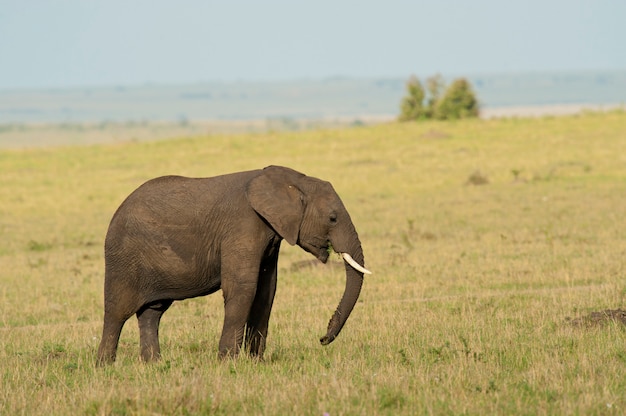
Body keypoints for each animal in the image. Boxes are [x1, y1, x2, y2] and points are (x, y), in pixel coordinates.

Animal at [95, 166, 368, 364]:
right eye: (332, 218)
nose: (322, 338)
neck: (292, 179)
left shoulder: (270, 234)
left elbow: (266, 291)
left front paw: (256, 363)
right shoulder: (243, 226)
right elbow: (243, 288)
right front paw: (228, 363)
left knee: (152, 312)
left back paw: (154, 365)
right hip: (123, 257)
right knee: (117, 312)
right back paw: (105, 367)